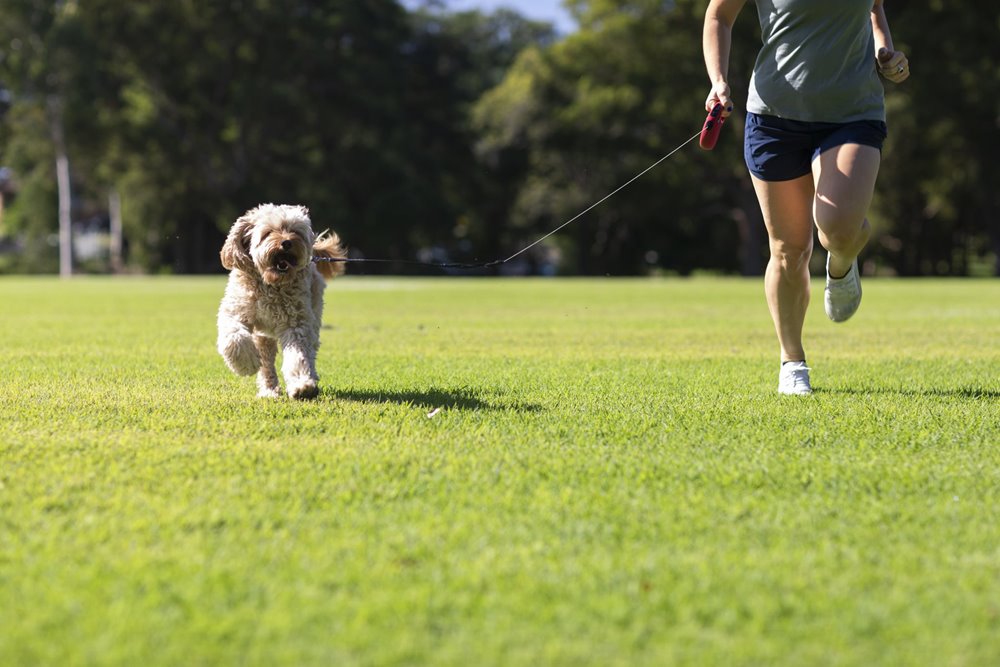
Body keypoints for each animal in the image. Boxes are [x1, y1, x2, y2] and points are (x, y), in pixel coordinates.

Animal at [217, 204, 346, 400]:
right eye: (268, 232)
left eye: (295, 231)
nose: (286, 242)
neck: (271, 284)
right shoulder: (235, 311)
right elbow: (234, 337)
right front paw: (247, 364)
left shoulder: (295, 324)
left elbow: (298, 355)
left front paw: (302, 385)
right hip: (264, 335)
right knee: (266, 361)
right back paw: (269, 390)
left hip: (313, 316)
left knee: (310, 350)